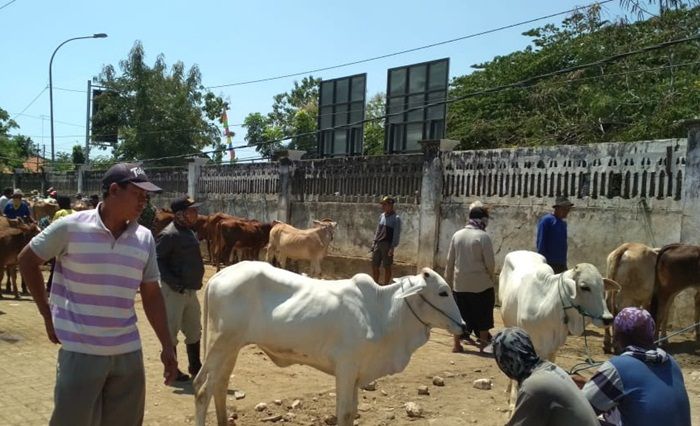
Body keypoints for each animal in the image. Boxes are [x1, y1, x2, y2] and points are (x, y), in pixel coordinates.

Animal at [193, 260, 464, 426]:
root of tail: (220, 275)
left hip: (232, 347)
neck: (383, 312)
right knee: (202, 390)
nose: (463, 326)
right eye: (442, 292)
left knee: (219, 386)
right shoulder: (346, 367)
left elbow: (352, 411)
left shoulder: (357, 373)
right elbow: (343, 413)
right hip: (220, 344)